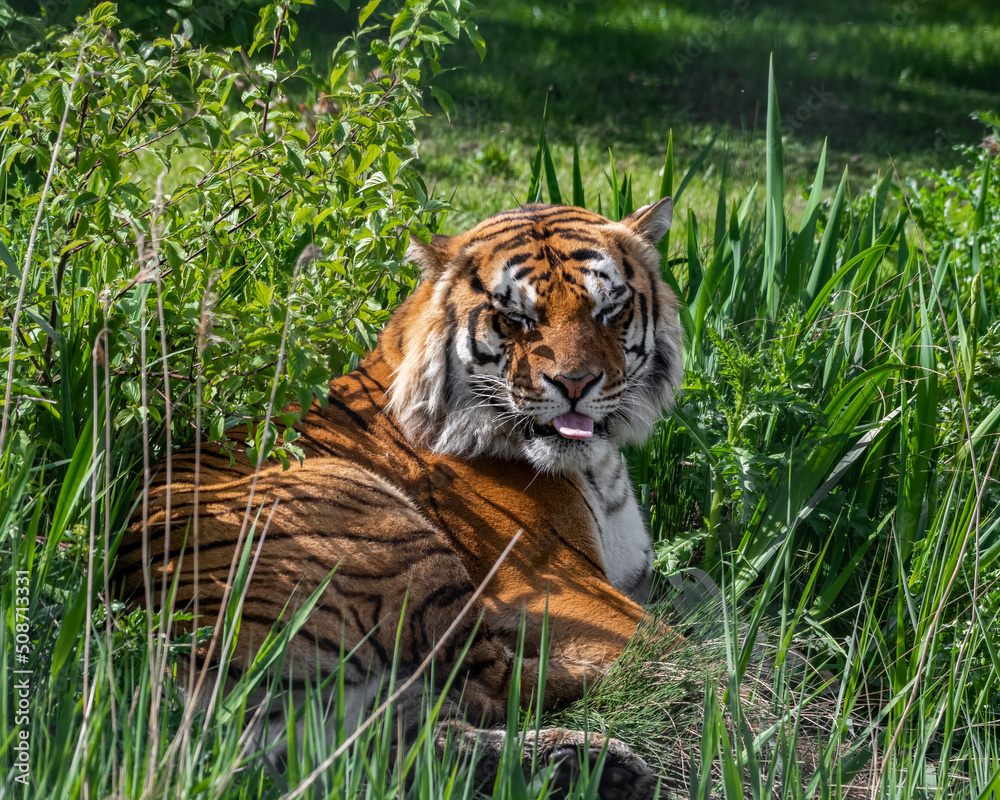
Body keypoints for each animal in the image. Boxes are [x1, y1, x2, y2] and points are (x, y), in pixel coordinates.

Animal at [113, 199, 684, 799]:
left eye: (609, 311)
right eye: (516, 319)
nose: (574, 384)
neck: (596, 466)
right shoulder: (554, 581)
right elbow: (678, 640)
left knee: (408, 744)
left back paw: (595, 766)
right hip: (385, 529)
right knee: (489, 684)